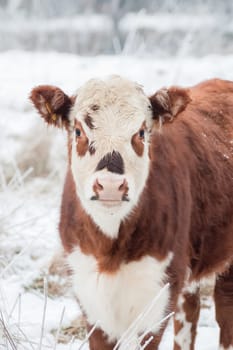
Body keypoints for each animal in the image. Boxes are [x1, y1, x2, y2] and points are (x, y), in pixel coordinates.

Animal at [30, 77, 233, 350]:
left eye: (141, 132)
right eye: (79, 131)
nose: (110, 185)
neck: (109, 248)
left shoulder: (157, 295)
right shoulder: (89, 294)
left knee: (225, 309)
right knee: (189, 311)